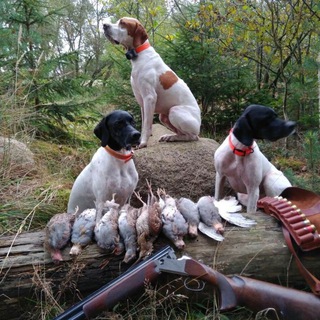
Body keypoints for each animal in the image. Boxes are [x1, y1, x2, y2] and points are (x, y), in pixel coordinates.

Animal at [102, 16, 200, 148]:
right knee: (182, 133)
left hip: (174, 111)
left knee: (192, 136)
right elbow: (144, 123)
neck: (138, 55)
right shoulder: (142, 101)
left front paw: (143, 142)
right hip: (163, 117)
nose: (104, 25)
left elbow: (146, 126)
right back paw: (170, 136)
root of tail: (199, 123)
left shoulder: (149, 97)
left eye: (123, 23)